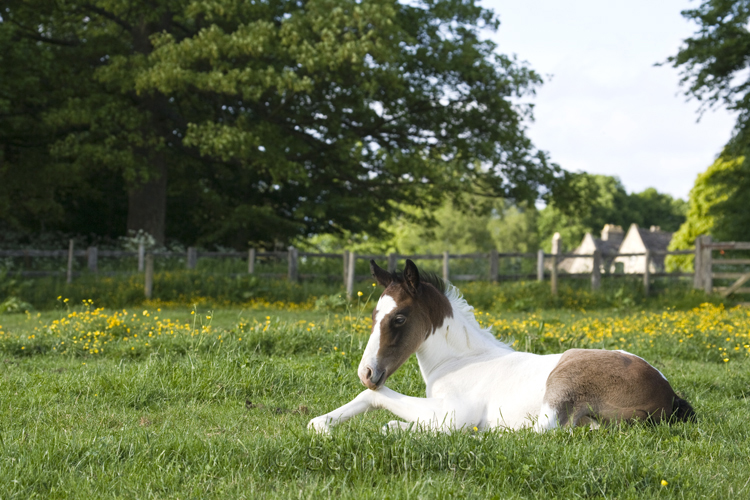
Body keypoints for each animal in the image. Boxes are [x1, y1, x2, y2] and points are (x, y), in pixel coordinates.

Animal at [308, 260, 696, 432]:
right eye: (374, 315)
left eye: (399, 318)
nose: (367, 372)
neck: (460, 361)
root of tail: (668, 392)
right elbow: (379, 408)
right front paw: (321, 424)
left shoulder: (455, 413)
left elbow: (379, 402)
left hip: (564, 380)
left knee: (544, 429)